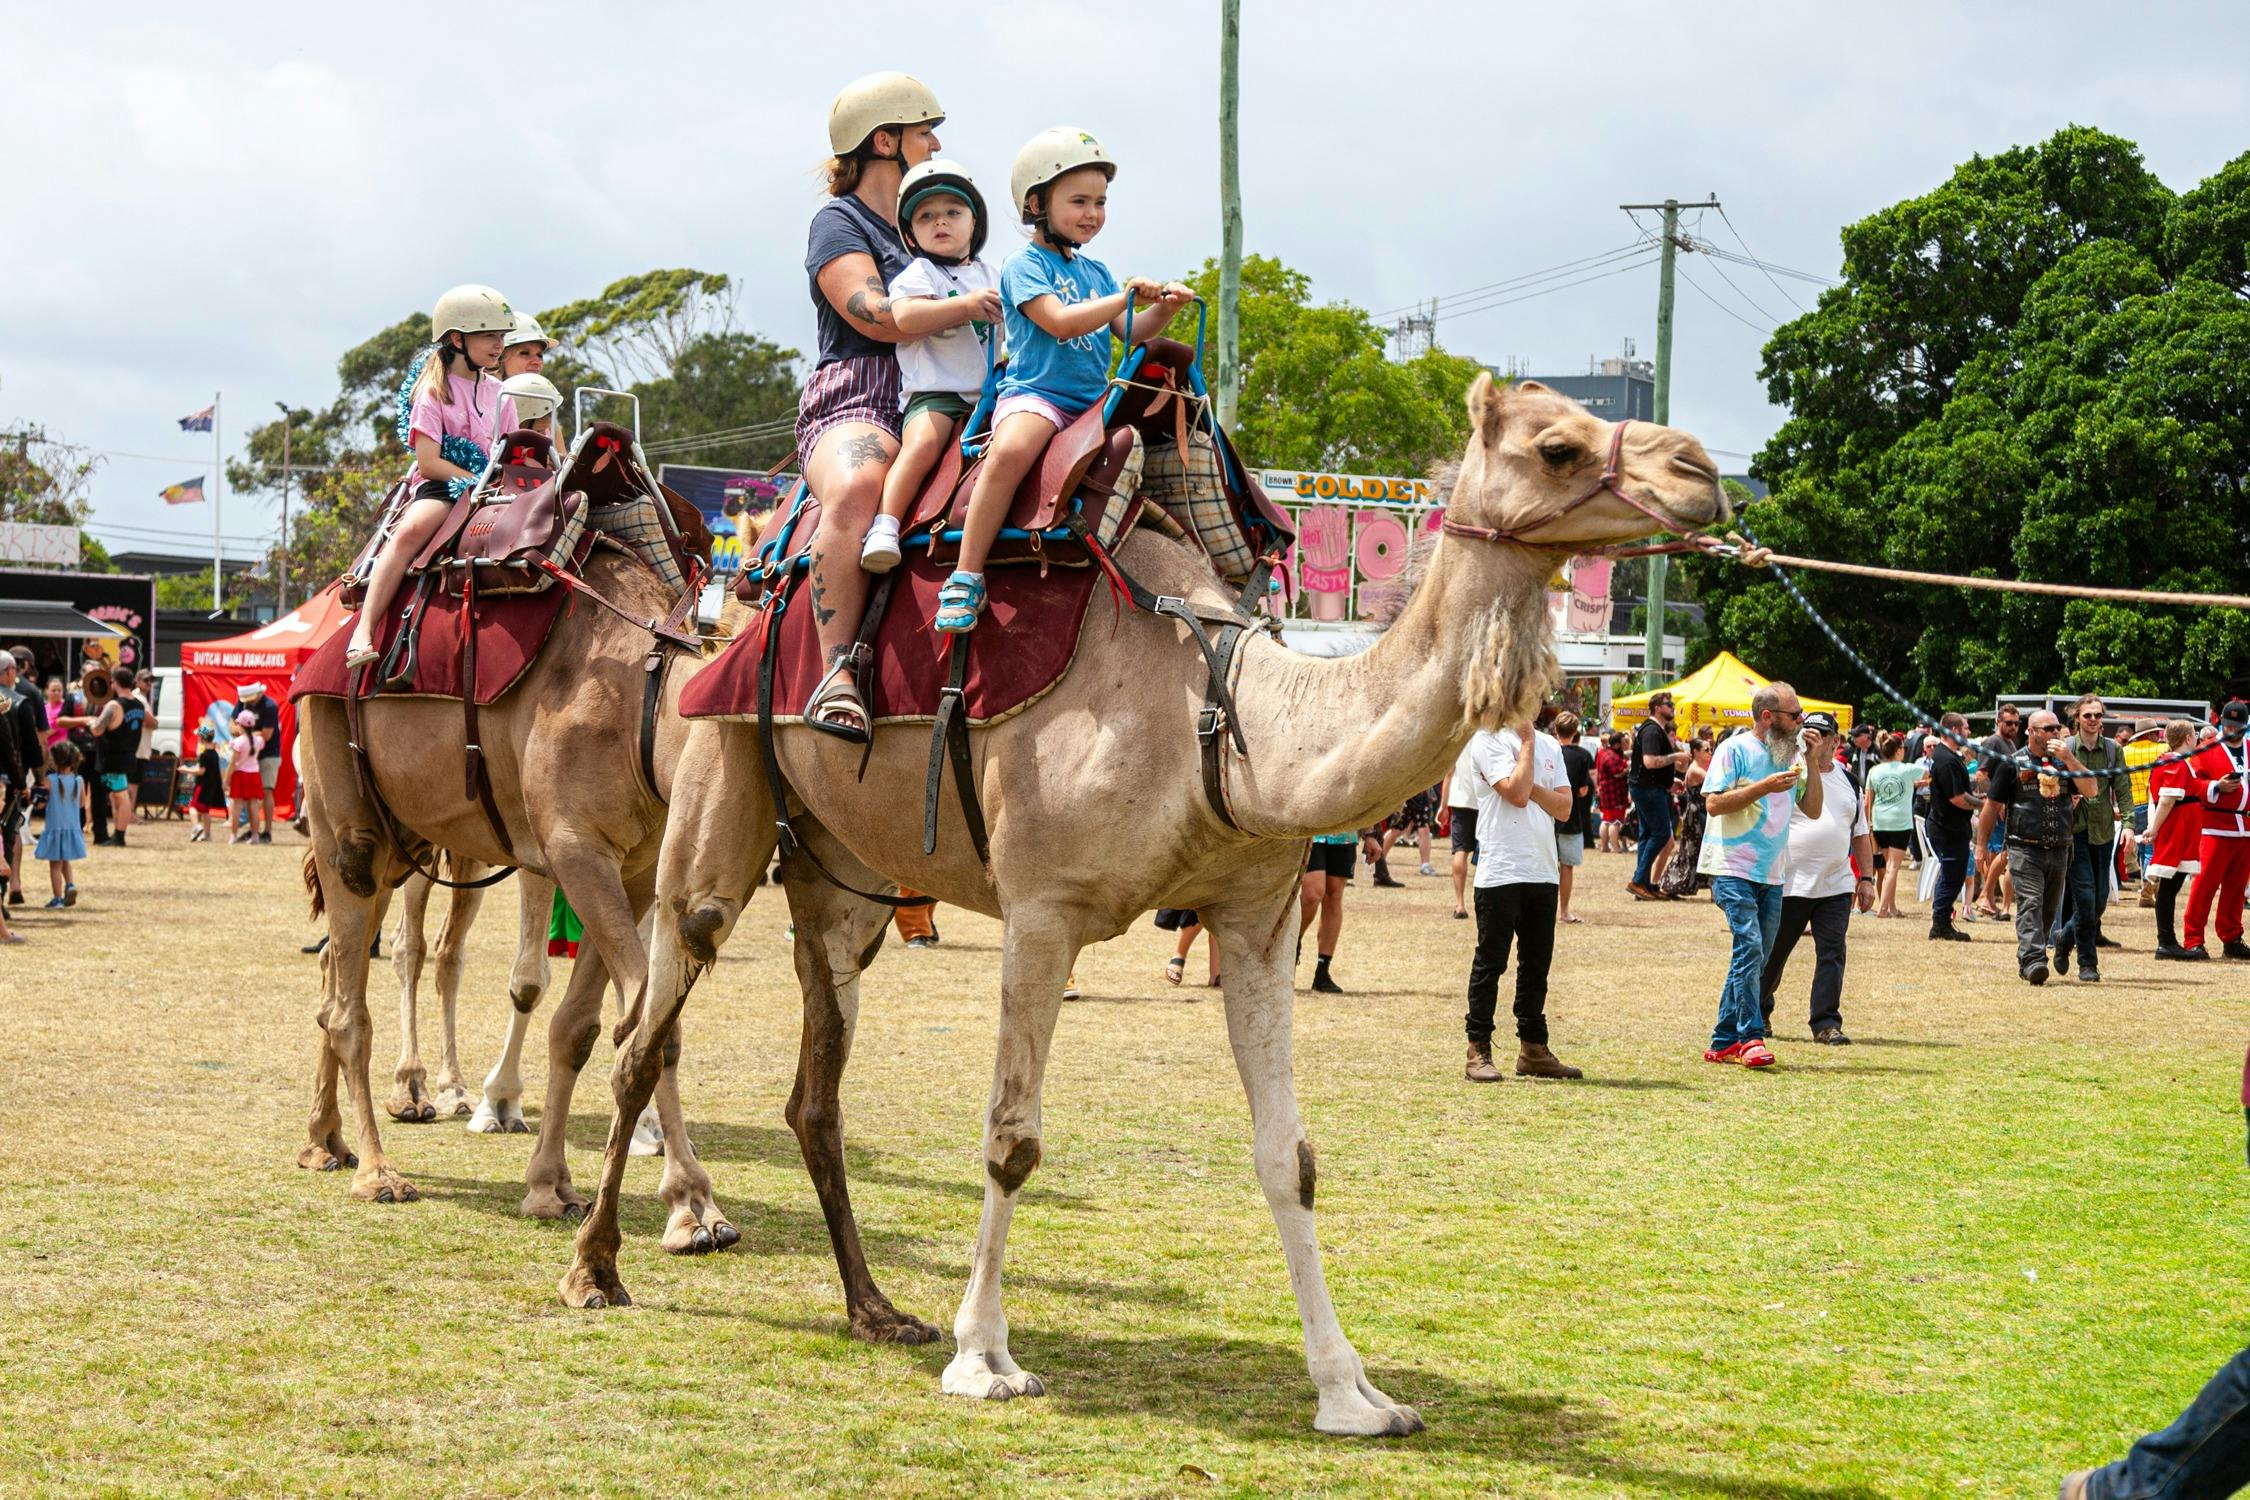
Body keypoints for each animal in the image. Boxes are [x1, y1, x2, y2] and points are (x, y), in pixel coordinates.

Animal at [559, 376, 1730, 1433]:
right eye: (1555, 446)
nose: (1699, 472)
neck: (1223, 721)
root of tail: (745, 597)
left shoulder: (1258, 918)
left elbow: (1290, 1157)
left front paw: (1354, 1394)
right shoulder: (1043, 909)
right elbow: (1012, 1139)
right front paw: (984, 1358)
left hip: (846, 877)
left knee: (814, 1084)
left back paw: (875, 1309)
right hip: (715, 787)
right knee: (646, 1026)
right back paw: (603, 1266)